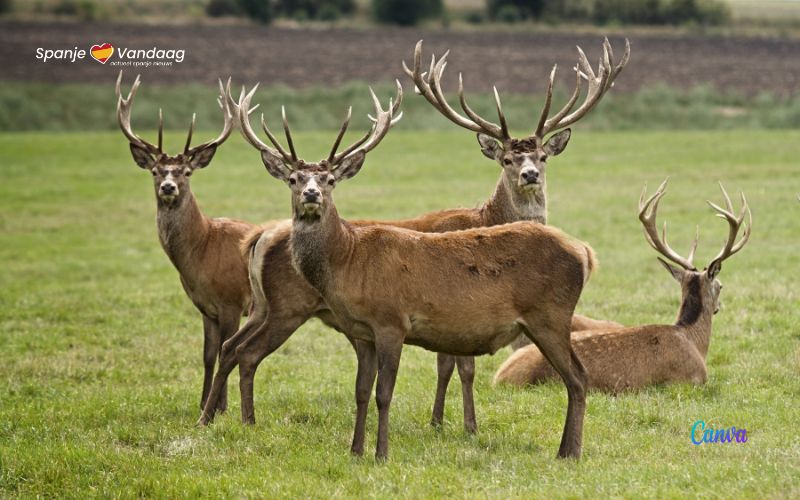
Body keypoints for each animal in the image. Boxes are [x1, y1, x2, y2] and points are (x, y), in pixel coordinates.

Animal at [112, 72, 276, 412]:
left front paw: (220, 406)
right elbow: (207, 355)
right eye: (155, 171)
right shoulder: (205, 308)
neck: (201, 252)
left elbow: (227, 349)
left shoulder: (231, 301)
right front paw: (203, 403)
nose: (168, 187)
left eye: (186, 171)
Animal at [197, 39, 628, 438]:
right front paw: (462, 425)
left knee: (231, 347)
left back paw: (213, 415)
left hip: (262, 305)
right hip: (288, 306)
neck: (486, 216)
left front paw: (441, 421)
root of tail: (259, 236)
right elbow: (459, 366)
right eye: (507, 158)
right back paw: (235, 419)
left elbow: (448, 363)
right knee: (246, 353)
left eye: (542, 156)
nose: (530, 175)